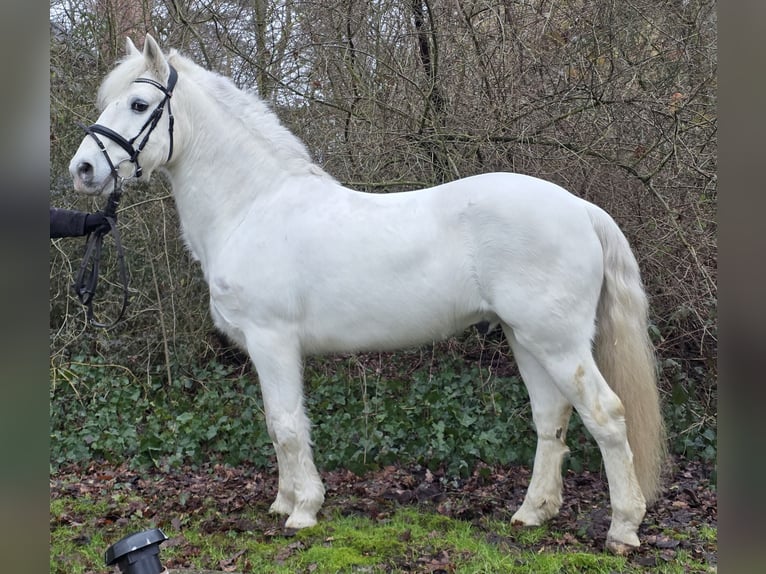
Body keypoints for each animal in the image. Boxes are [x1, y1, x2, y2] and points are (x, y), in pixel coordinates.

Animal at [69, 35, 665, 554]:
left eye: (139, 103)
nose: (84, 169)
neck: (252, 206)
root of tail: (581, 209)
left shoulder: (272, 341)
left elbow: (288, 425)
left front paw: (303, 510)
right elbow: (274, 424)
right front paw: (283, 502)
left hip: (557, 341)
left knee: (606, 416)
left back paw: (622, 528)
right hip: (527, 338)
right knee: (550, 418)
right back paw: (533, 512)